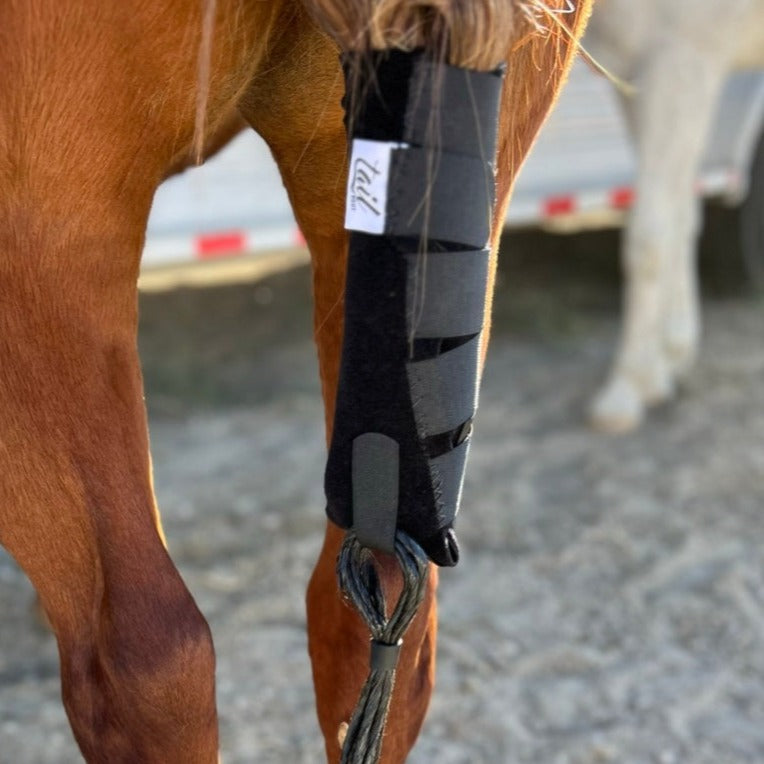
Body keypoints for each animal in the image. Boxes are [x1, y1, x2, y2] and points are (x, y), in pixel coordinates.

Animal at [584, 0, 764, 432]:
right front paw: (664, 362)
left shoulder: (681, 61)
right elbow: (680, 216)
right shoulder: (640, 73)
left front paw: (626, 387)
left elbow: (649, 235)